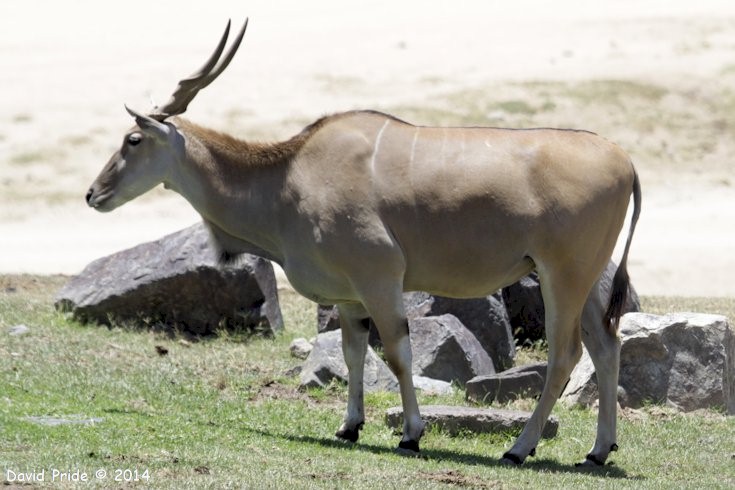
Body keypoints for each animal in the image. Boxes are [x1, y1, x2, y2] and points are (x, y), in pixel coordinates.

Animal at [85, 20, 640, 468]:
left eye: (132, 140)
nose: (93, 194)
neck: (288, 178)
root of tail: (624, 160)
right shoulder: (350, 296)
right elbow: (354, 354)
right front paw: (350, 426)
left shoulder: (379, 277)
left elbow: (396, 353)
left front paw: (412, 435)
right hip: (587, 279)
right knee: (606, 345)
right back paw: (598, 451)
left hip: (561, 276)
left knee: (565, 355)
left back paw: (519, 448)